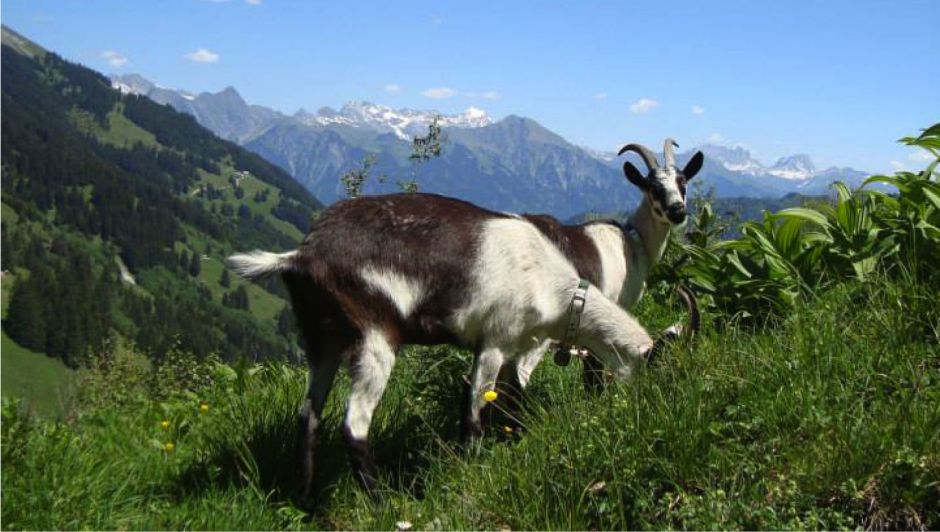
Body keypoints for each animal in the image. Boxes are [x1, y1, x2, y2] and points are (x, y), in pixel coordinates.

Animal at [229, 137, 704, 502]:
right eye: (654, 187)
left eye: (683, 183)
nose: (678, 210)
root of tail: (302, 254)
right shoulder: (496, 341)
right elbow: (475, 414)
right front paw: (476, 468)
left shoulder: (517, 346)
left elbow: (509, 400)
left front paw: (516, 438)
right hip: (373, 338)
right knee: (355, 425)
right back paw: (381, 503)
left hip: (321, 342)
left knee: (307, 416)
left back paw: (305, 500)